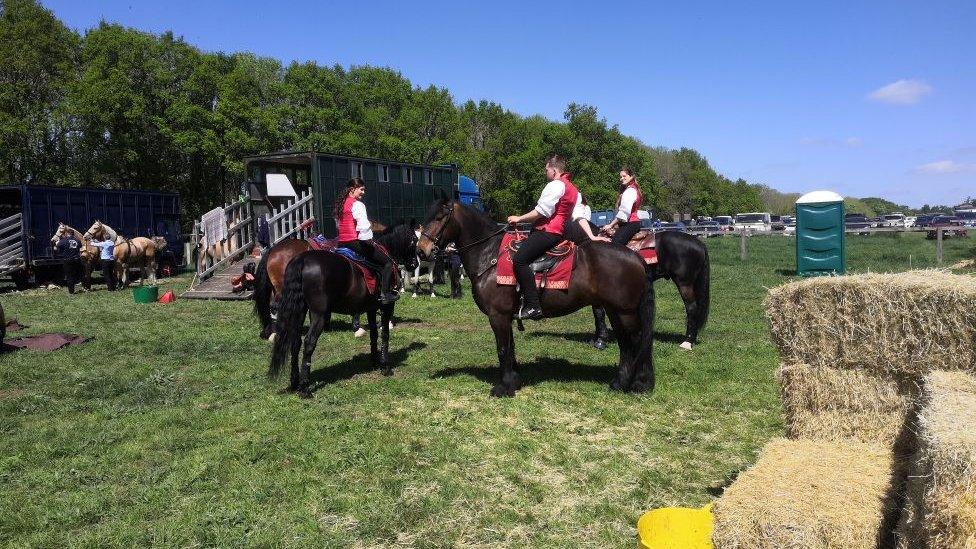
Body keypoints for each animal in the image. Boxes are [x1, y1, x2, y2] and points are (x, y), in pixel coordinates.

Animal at [416, 199, 652, 396]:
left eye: (439, 217)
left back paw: (637, 383)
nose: (420, 251)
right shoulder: (507, 317)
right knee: (626, 344)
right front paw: (513, 381)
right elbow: (510, 348)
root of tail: (635, 256)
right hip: (615, 311)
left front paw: (503, 388)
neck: (490, 255)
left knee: (636, 341)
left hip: (624, 312)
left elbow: (502, 349)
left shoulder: (498, 316)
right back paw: (623, 383)